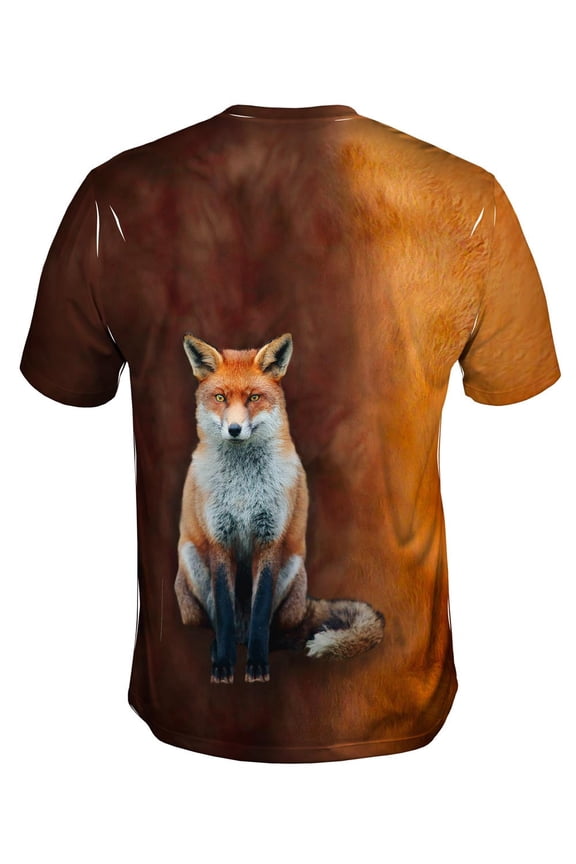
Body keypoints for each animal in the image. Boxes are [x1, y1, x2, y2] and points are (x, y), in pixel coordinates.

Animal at [174, 331, 385, 683]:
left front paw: (257, 666)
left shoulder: (270, 539)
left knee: (277, 632)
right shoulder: (219, 539)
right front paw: (223, 665)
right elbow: (223, 612)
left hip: (292, 569)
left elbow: (261, 612)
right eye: (219, 397)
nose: (234, 429)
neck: (243, 489)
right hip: (192, 565)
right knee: (218, 622)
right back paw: (219, 647)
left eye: (254, 397)